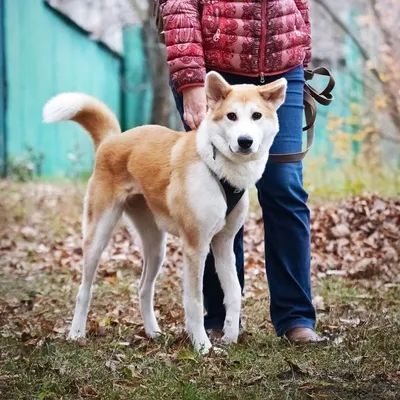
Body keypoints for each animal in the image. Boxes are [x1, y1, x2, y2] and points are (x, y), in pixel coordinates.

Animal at [42, 72, 286, 354]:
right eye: (231, 116)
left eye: (256, 115)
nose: (244, 142)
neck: (217, 165)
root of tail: (112, 140)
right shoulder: (195, 247)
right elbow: (194, 300)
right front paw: (203, 347)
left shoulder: (223, 244)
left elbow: (234, 293)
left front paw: (230, 337)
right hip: (98, 236)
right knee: (85, 289)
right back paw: (76, 333)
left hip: (156, 246)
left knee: (143, 289)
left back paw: (152, 332)